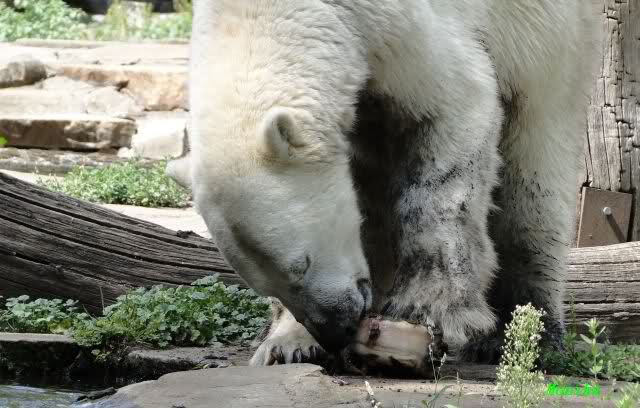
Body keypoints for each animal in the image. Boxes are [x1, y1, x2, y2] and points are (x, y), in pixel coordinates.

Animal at [183, 0, 600, 367]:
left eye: (301, 264)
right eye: (267, 285)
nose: (334, 329)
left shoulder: (397, 27)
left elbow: (455, 109)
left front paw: (425, 306)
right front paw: (288, 345)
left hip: (548, 40)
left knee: (536, 166)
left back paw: (526, 335)